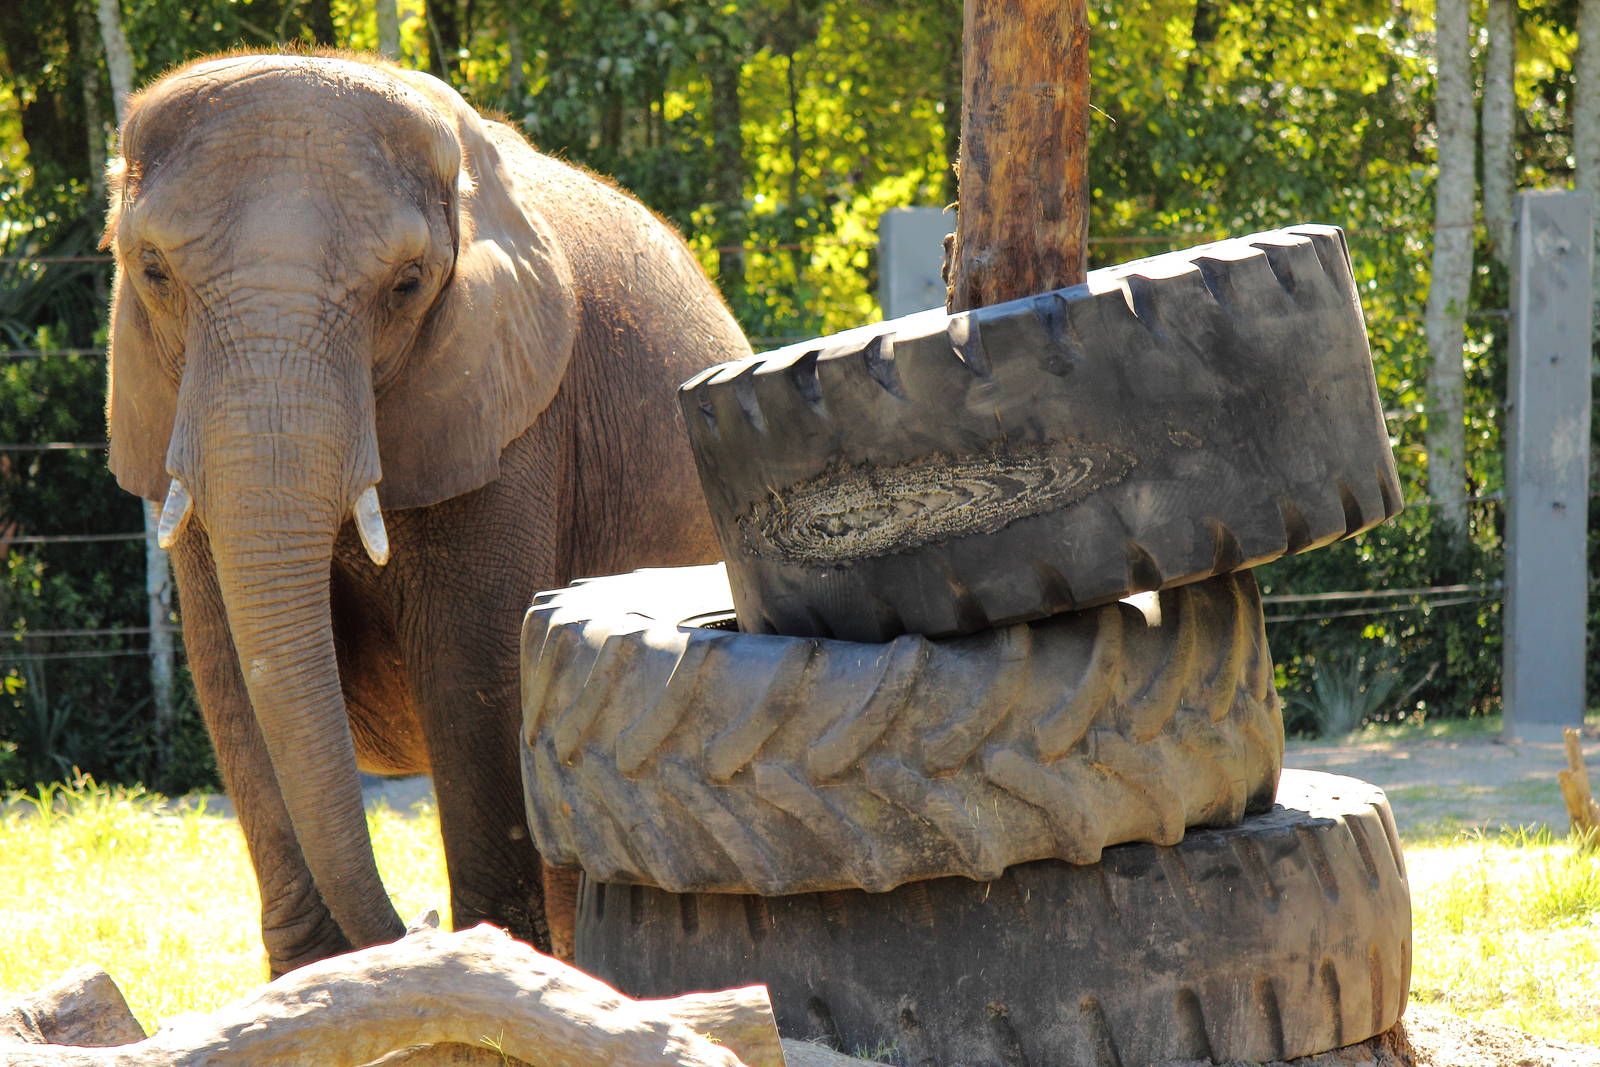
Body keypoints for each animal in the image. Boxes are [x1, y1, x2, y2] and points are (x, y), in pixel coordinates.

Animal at [100, 52, 748, 976]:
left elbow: (470, 661)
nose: (418, 927)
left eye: (408, 285)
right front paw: (322, 983)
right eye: (152, 270)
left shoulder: (511, 410)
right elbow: (231, 671)